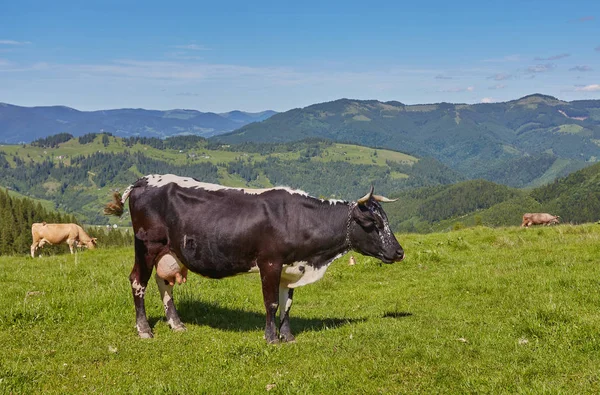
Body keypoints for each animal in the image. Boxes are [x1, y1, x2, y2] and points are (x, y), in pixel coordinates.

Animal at [104, 173, 404, 344]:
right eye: (373, 223)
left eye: (386, 220)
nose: (399, 252)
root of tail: (144, 180)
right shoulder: (270, 262)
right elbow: (271, 303)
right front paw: (271, 338)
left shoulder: (291, 267)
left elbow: (287, 304)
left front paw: (288, 336)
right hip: (147, 246)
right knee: (138, 281)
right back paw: (144, 329)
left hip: (169, 251)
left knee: (163, 282)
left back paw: (176, 324)